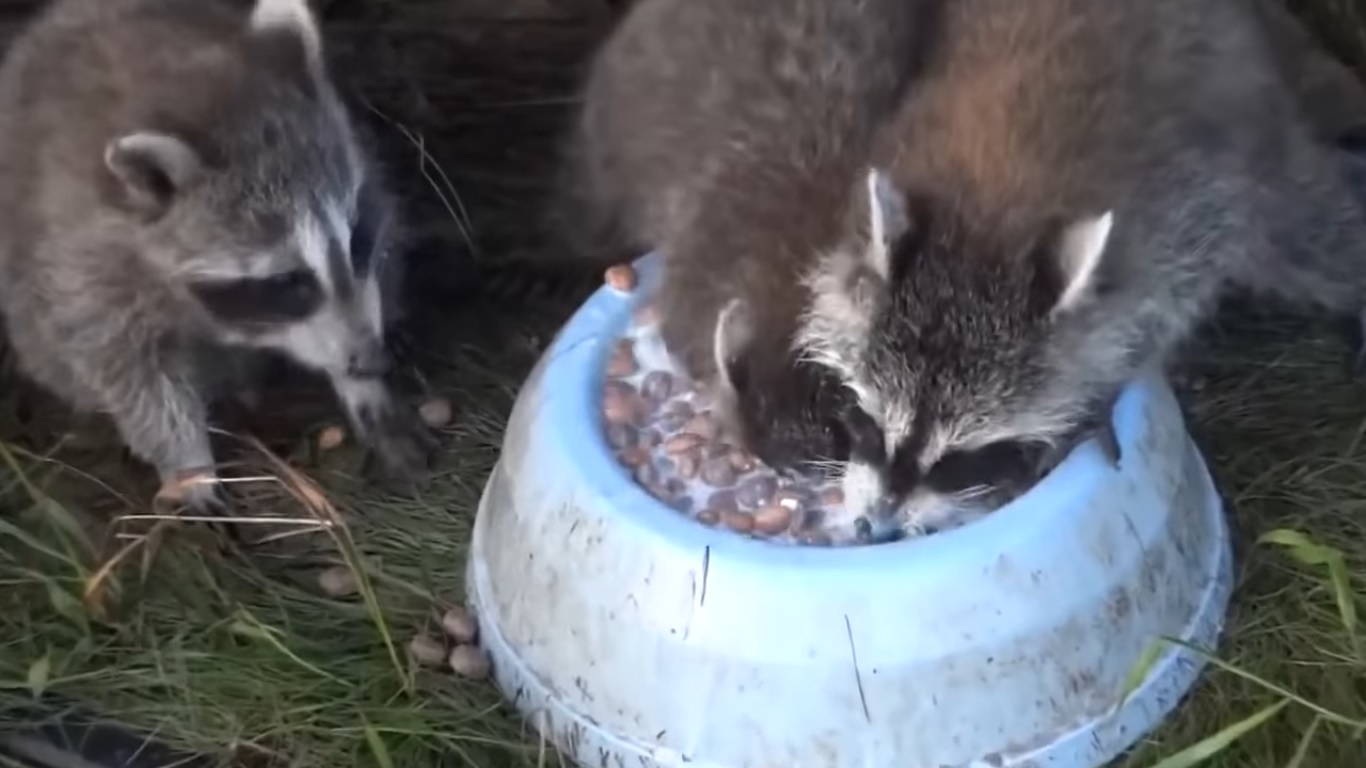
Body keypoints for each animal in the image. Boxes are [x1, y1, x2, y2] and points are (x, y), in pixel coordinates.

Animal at [0, 1, 431, 513]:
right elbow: (133, 374)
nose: (371, 361)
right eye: (289, 281)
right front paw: (189, 468)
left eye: (356, 242)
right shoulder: (85, 264)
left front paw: (363, 390)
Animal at [797, 0, 1366, 538]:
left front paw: (1103, 390)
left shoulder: (1186, 213)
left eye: (957, 457)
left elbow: (1169, 307)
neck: (988, 218)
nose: (876, 522)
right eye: (872, 424)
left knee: (1313, 236)